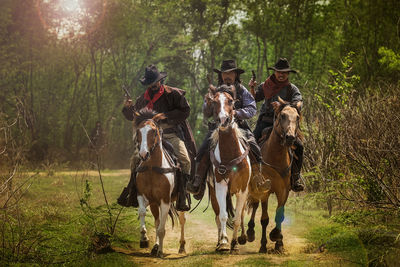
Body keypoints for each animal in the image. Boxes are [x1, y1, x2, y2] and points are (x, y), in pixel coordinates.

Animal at [133, 109, 186, 258]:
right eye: (138, 131)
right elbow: (142, 212)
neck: (152, 168)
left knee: (182, 220)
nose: (143, 154)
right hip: (154, 204)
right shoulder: (142, 196)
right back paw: (155, 246)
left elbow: (162, 229)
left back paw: (181, 246)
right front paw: (144, 239)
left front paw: (161, 251)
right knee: (157, 221)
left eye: (153, 131)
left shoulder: (165, 200)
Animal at [205, 87, 252, 254]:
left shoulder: (243, 189)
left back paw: (242, 237)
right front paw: (225, 242)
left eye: (231, 101)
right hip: (213, 192)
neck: (231, 154)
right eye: (213, 102)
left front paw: (235, 243)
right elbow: (224, 216)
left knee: (242, 214)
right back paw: (219, 242)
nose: (223, 120)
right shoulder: (220, 186)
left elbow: (238, 217)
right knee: (218, 216)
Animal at [245, 97, 302, 254]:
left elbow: (280, 215)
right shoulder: (266, 190)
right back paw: (249, 233)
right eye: (282, 115)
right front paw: (263, 245)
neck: (276, 158)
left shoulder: (283, 191)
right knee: (255, 205)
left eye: (297, 117)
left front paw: (278, 241)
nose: (290, 138)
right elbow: (264, 219)